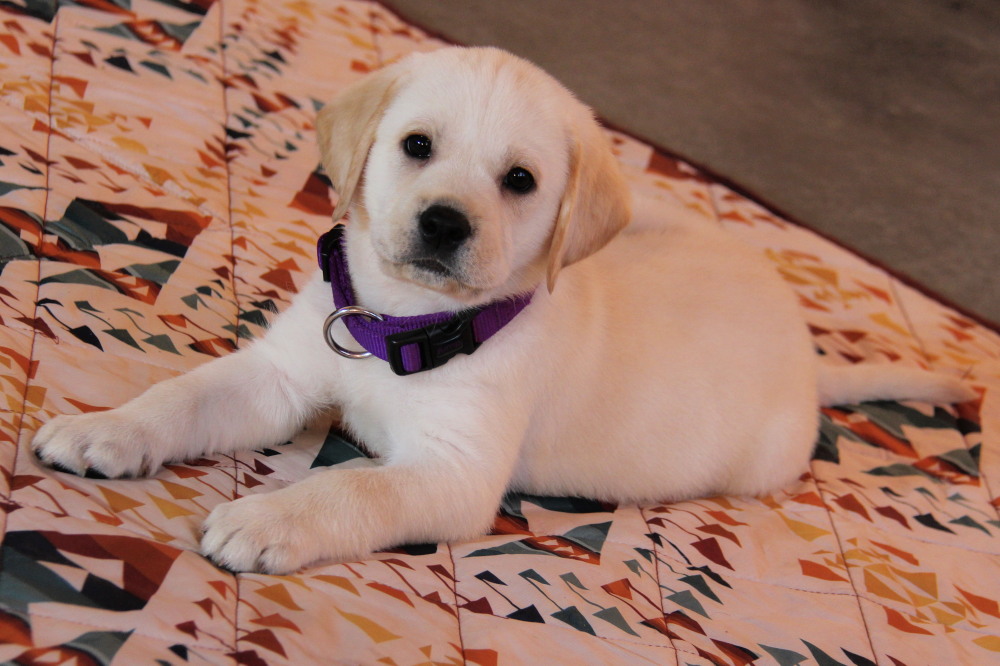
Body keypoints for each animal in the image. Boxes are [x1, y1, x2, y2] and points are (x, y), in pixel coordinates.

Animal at [29, 49, 968, 572]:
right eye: (416, 146)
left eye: (519, 180)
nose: (446, 223)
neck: (404, 325)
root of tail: (811, 358)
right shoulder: (280, 376)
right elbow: (183, 397)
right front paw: (106, 430)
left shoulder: (451, 474)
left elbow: (348, 488)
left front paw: (268, 518)